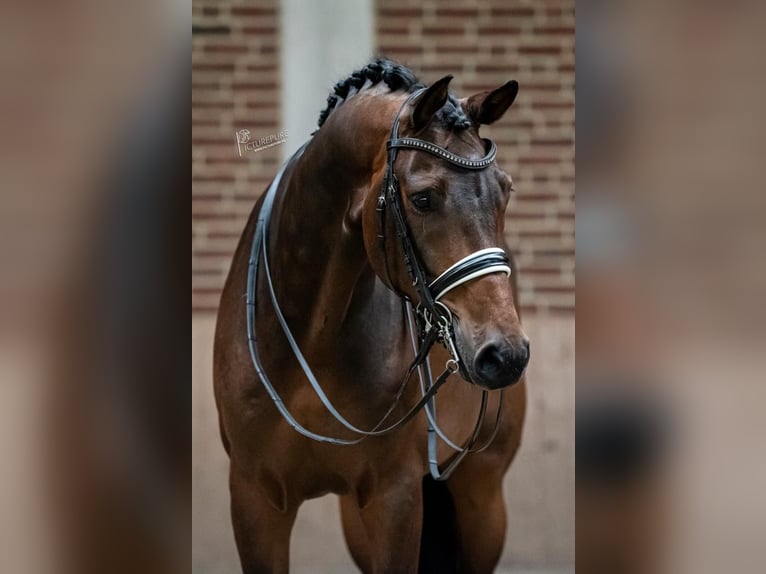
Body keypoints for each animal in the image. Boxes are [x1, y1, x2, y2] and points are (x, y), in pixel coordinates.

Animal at [214, 59, 528, 574]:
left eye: (504, 191)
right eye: (423, 199)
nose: (505, 355)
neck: (311, 339)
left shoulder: (395, 498)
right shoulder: (254, 498)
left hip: (482, 497)